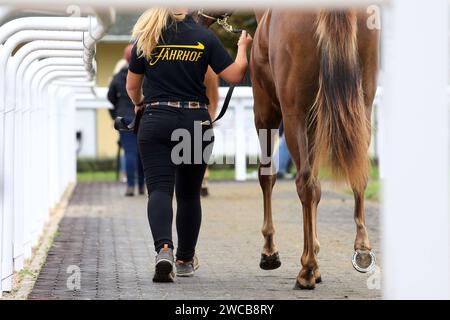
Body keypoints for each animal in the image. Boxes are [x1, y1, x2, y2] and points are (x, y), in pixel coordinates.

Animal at [253, 10, 380, 290]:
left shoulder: (266, 112)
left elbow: (267, 176)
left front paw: (270, 251)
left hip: (292, 116)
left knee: (305, 184)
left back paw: (307, 269)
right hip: (363, 107)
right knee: (357, 174)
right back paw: (362, 249)